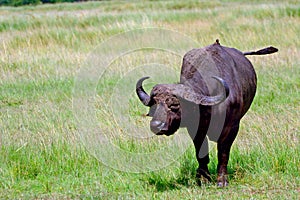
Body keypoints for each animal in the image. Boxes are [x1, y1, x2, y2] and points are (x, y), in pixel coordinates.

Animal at [135, 39, 276, 187]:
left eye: (174, 105)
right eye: (154, 105)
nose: (156, 125)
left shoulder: (232, 127)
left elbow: (223, 153)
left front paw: (222, 180)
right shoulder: (195, 128)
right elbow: (201, 153)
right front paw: (203, 178)